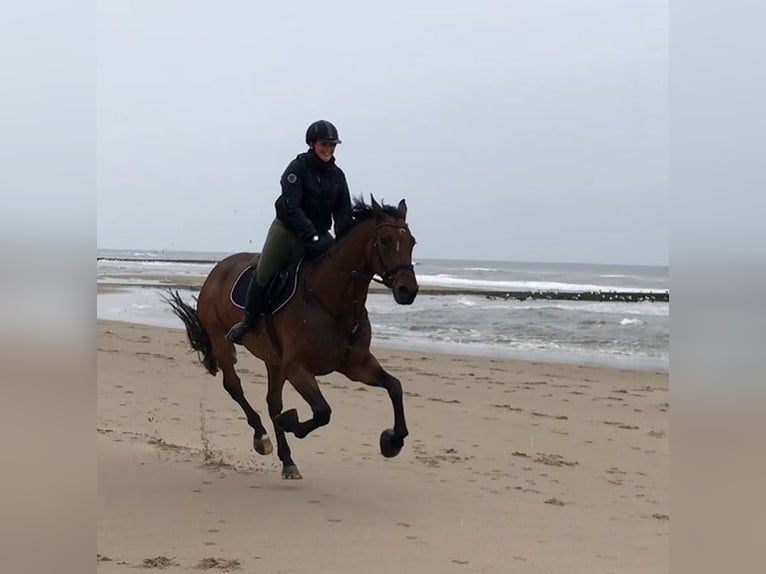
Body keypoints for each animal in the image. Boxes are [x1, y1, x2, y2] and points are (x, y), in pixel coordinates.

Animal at [166, 196, 418, 479]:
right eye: (385, 240)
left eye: (412, 242)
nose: (408, 290)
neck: (333, 302)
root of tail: (217, 269)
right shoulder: (297, 368)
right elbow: (322, 412)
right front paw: (291, 422)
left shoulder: (356, 365)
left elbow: (394, 386)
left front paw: (392, 441)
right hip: (222, 340)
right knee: (234, 386)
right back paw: (261, 437)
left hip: (273, 359)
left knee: (273, 402)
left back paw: (287, 460)